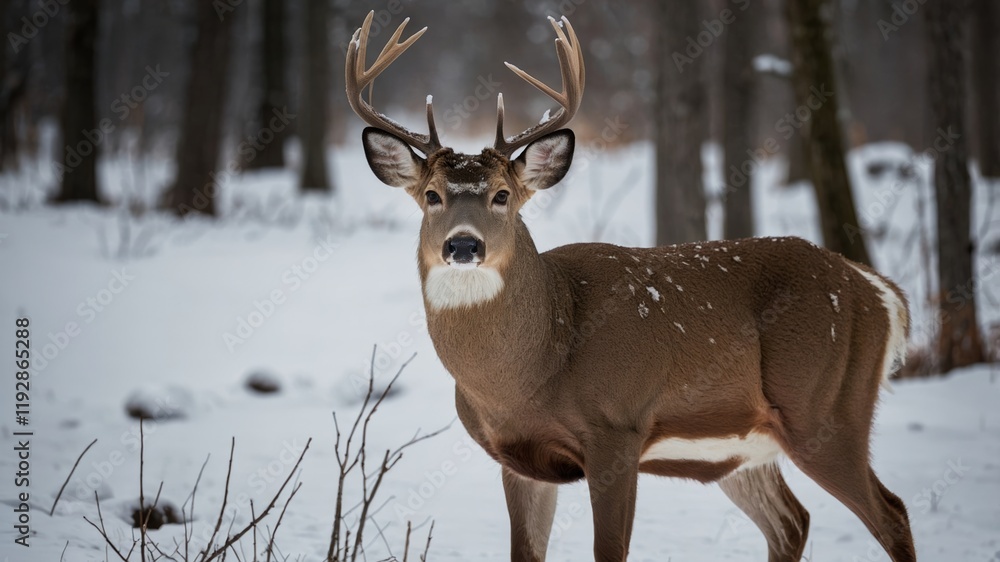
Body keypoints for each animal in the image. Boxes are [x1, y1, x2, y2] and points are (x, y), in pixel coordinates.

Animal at [345, 11, 917, 562]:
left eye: (503, 195)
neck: (536, 368)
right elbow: (525, 552)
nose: (463, 245)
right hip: (748, 446)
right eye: (432, 196)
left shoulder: (617, 429)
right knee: (792, 522)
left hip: (825, 407)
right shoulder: (518, 457)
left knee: (892, 512)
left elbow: (610, 549)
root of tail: (879, 289)